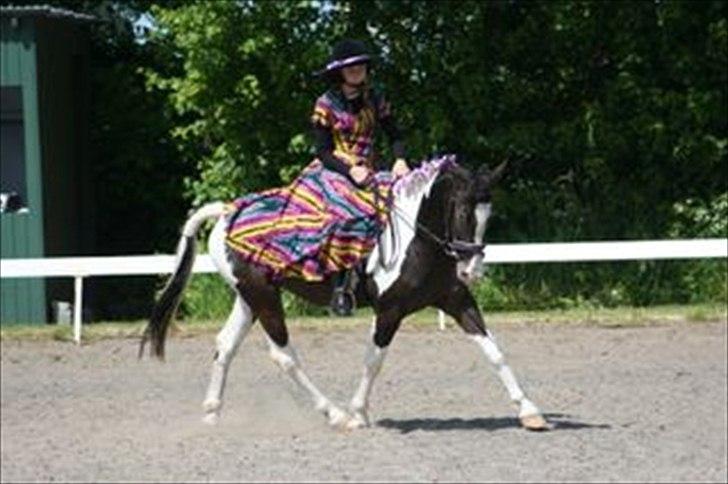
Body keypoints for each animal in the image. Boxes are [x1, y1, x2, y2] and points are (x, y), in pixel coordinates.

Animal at [139, 155, 548, 432]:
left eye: (488, 215)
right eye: (462, 211)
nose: (471, 270)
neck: (418, 240)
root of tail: (227, 212)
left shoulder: (456, 300)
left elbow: (494, 351)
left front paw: (529, 411)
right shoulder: (389, 310)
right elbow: (374, 360)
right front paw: (358, 412)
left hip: (249, 298)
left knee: (225, 346)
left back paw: (212, 413)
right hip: (264, 299)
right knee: (284, 356)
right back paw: (335, 414)